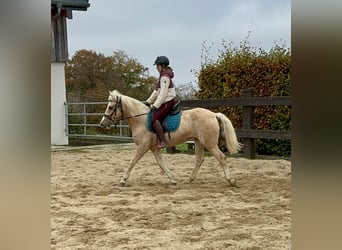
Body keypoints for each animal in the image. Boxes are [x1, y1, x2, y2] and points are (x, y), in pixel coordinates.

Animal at [100, 91, 242, 187]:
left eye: (111, 107)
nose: (102, 123)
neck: (141, 120)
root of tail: (213, 114)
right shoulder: (153, 147)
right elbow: (161, 164)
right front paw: (173, 179)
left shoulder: (143, 146)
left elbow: (132, 162)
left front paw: (123, 180)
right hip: (199, 142)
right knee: (199, 160)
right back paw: (190, 179)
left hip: (210, 144)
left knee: (222, 158)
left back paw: (231, 181)